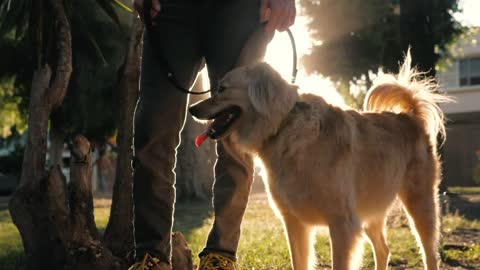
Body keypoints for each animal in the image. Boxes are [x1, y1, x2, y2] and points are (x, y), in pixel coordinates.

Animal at [188, 53, 450, 270]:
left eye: (222, 88)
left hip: (420, 204)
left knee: (430, 254)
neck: (283, 126)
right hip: (370, 211)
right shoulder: (295, 223)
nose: (191, 109)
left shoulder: (342, 225)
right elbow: (299, 263)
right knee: (384, 249)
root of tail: (410, 117)